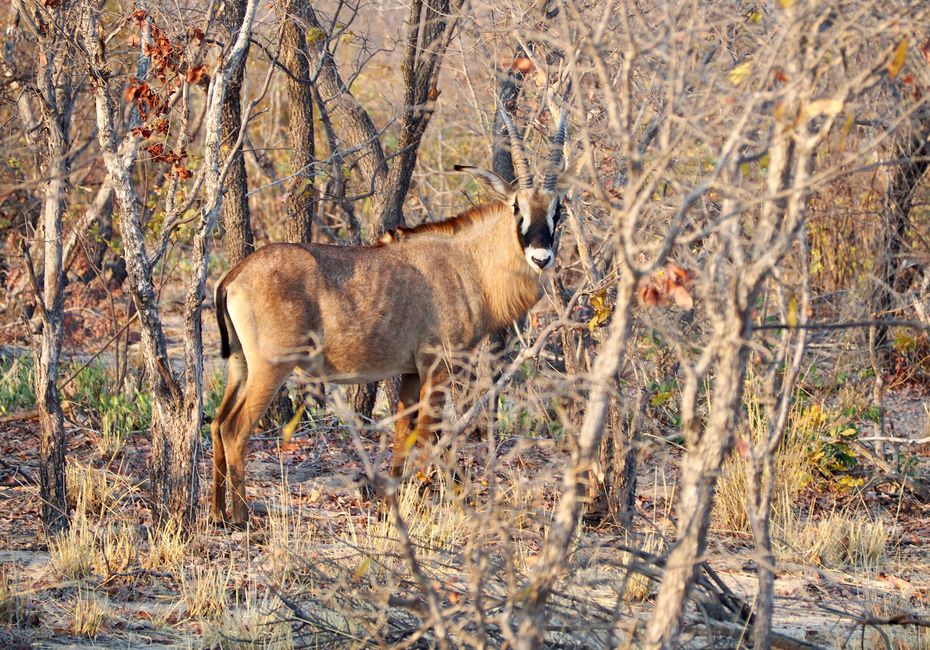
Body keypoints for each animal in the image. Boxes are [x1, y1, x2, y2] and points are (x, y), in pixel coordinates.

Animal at [211, 106, 572, 520]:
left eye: (558, 209)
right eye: (516, 207)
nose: (541, 258)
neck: (469, 262)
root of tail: (234, 275)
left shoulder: (411, 372)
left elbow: (403, 434)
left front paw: (391, 505)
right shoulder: (438, 366)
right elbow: (431, 435)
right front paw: (445, 502)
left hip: (240, 365)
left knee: (217, 423)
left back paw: (216, 513)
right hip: (271, 367)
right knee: (235, 429)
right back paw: (241, 517)